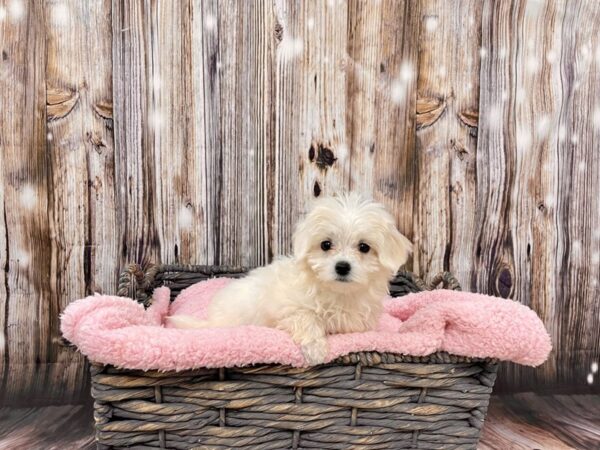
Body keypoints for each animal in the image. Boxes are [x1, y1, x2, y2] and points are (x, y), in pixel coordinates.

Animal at [169, 193, 412, 366]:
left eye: (364, 247)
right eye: (326, 244)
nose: (342, 266)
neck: (337, 293)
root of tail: (212, 320)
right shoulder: (285, 310)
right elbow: (306, 318)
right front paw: (316, 350)